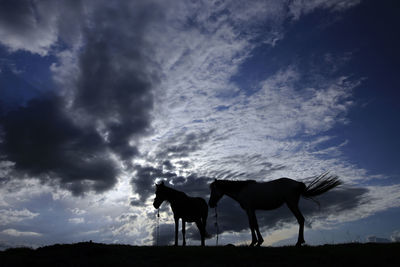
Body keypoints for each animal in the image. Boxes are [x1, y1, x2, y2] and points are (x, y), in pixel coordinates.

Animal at [208, 174, 342, 247]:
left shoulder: (249, 209)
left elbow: (251, 225)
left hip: (291, 203)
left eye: (213, 190)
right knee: (301, 220)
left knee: (300, 219)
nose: (210, 204)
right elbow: (256, 225)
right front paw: (259, 242)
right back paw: (300, 241)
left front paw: (253, 242)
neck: (242, 190)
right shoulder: (253, 210)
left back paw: (299, 242)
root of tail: (297, 183)